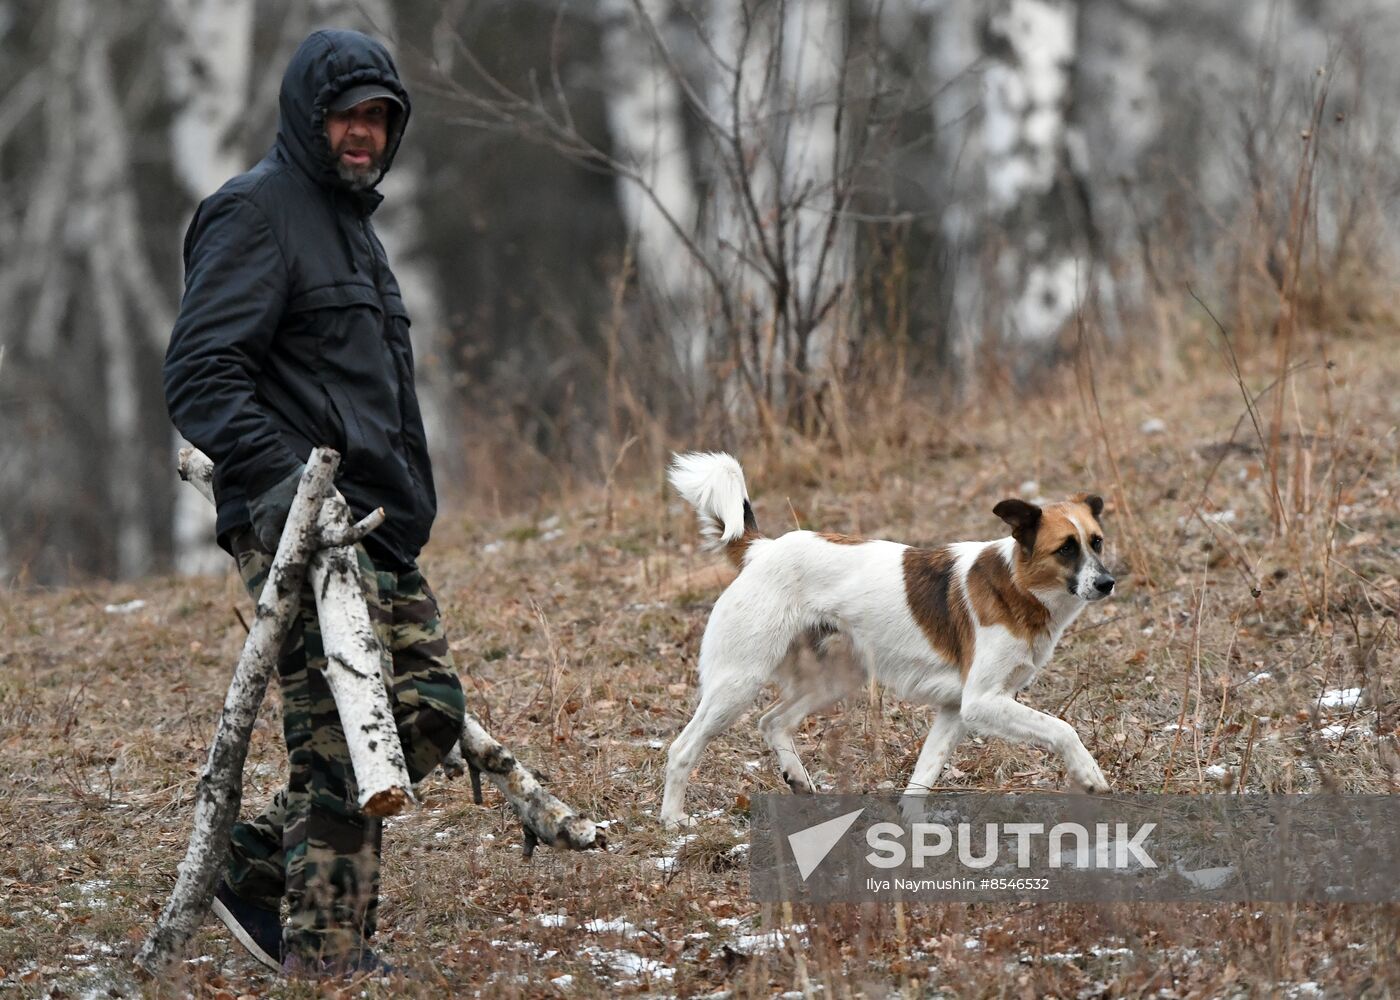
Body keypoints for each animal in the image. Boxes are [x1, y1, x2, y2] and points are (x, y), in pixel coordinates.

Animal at [658, 450, 1114, 823]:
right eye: (1066, 548)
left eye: (1096, 542)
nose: (1108, 583)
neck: (1018, 585)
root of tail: (762, 550)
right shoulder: (981, 701)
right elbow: (1062, 728)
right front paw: (1089, 774)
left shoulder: (956, 708)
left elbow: (924, 774)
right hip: (738, 682)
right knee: (683, 749)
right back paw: (674, 821)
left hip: (835, 678)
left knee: (772, 721)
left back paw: (798, 779)